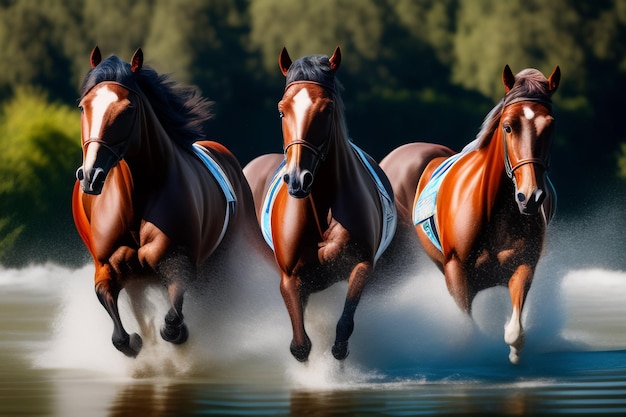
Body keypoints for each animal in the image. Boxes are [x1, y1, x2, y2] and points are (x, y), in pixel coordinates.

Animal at [73, 47, 264, 356]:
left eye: (128, 108)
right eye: (83, 106)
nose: (91, 175)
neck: (138, 199)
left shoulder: (178, 264)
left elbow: (172, 324)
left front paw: (176, 333)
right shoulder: (106, 268)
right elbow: (120, 336)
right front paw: (136, 341)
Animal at [243, 47, 394, 360]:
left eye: (327, 109)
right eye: (282, 110)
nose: (297, 178)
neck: (321, 207)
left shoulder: (362, 264)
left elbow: (343, 329)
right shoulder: (290, 276)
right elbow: (300, 345)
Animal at [380, 64, 560, 360]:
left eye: (551, 127)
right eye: (508, 127)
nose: (531, 197)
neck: (495, 211)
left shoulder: (524, 266)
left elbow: (515, 332)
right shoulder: (458, 274)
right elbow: (469, 330)